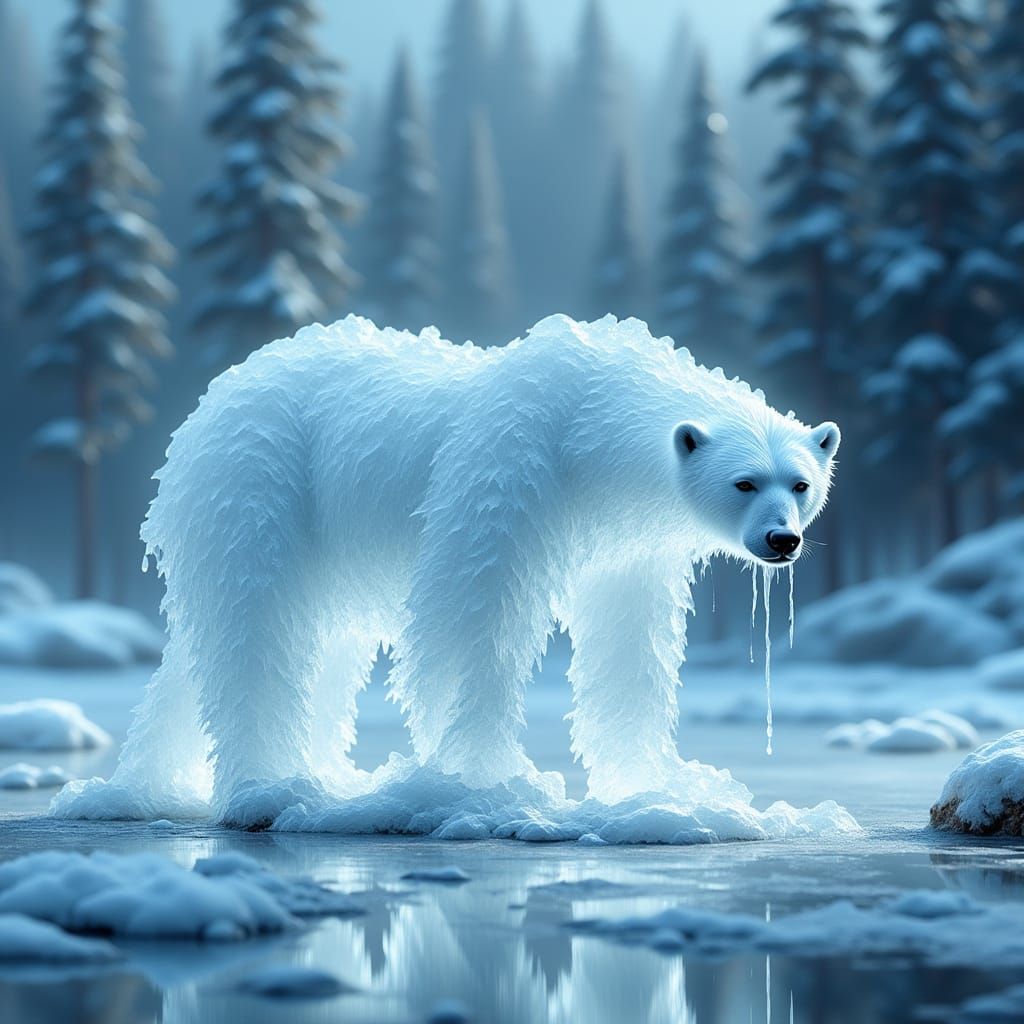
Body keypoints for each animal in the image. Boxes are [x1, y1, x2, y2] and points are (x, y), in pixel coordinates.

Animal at [52, 314, 839, 824]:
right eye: (744, 481)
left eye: (800, 482)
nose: (782, 540)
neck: (592, 421)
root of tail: (209, 406)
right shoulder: (512, 466)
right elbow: (470, 612)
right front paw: (480, 781)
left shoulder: (627, 543)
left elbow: (630, 644)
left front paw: (661, 789)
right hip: (262, 489)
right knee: (258, 629)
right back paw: (268, 790)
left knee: (267, 646)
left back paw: (155, 789)